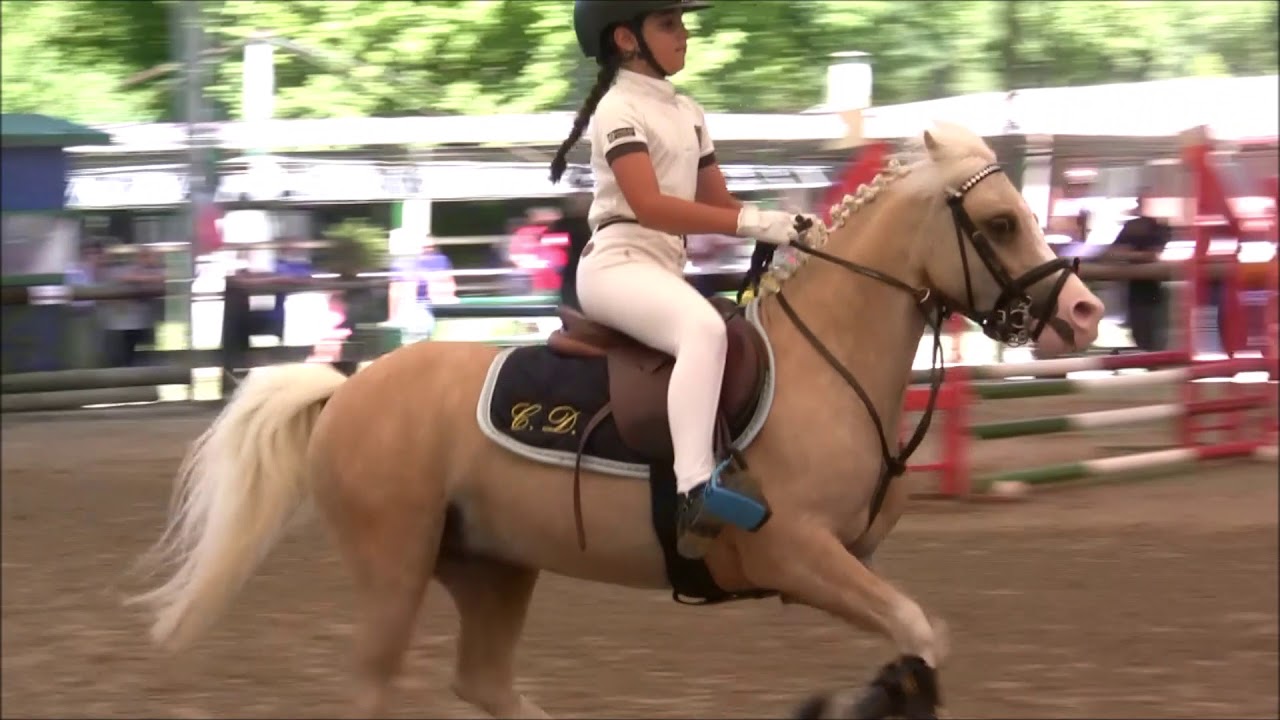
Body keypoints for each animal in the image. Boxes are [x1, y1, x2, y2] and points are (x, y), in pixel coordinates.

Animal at [129, 123, 1104, 719]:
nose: (1085, 314)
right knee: (378, 686)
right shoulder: (800, 555)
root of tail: (350, 388)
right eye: (1000, 221)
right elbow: (918, 630)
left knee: (484, 683)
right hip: (393, 565)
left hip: (492, 566)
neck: (824, 364)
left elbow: (917, 644)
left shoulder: (846, 562)